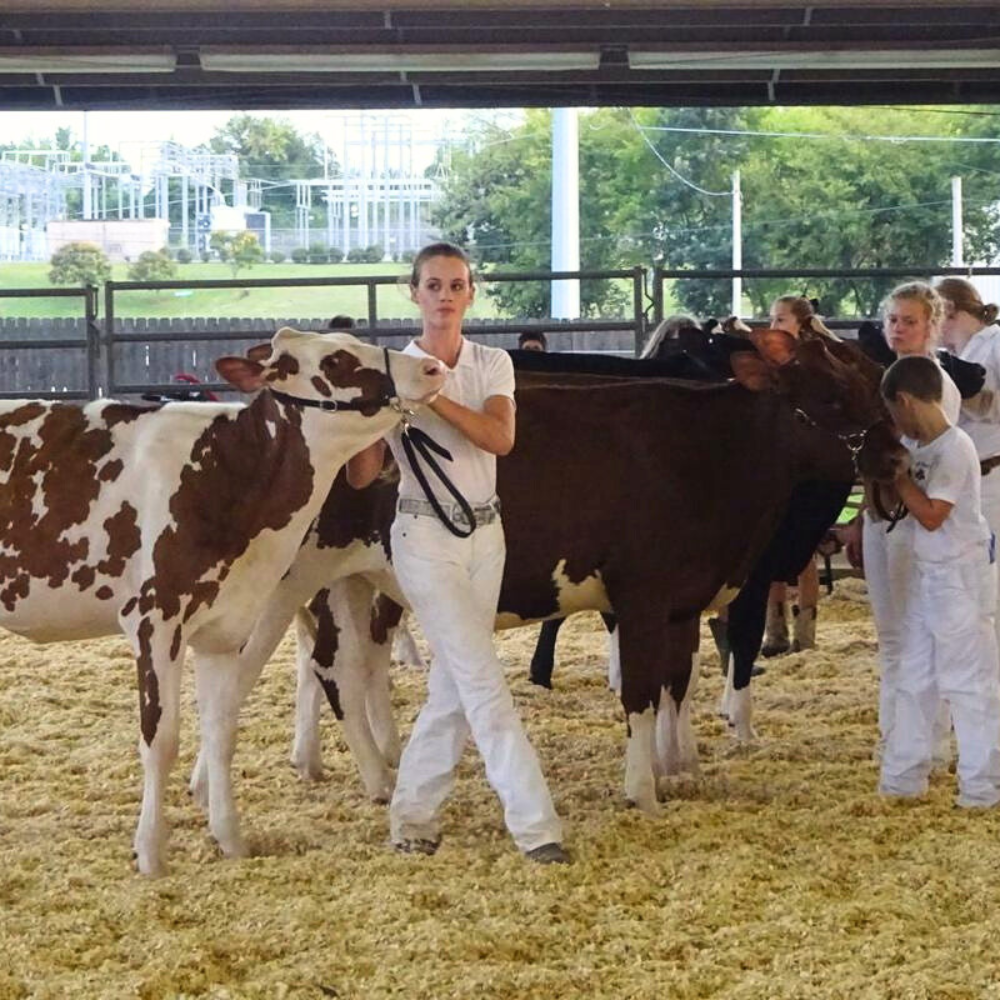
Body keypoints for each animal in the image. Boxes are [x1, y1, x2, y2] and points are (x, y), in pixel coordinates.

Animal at [0, 328, 446, 876]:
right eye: (337, 360)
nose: (431, 369)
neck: (222, 474)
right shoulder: (154, 621)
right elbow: (161, 739)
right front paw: (151, 852)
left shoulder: (225, 628)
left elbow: (221, 729)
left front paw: (230, 839)